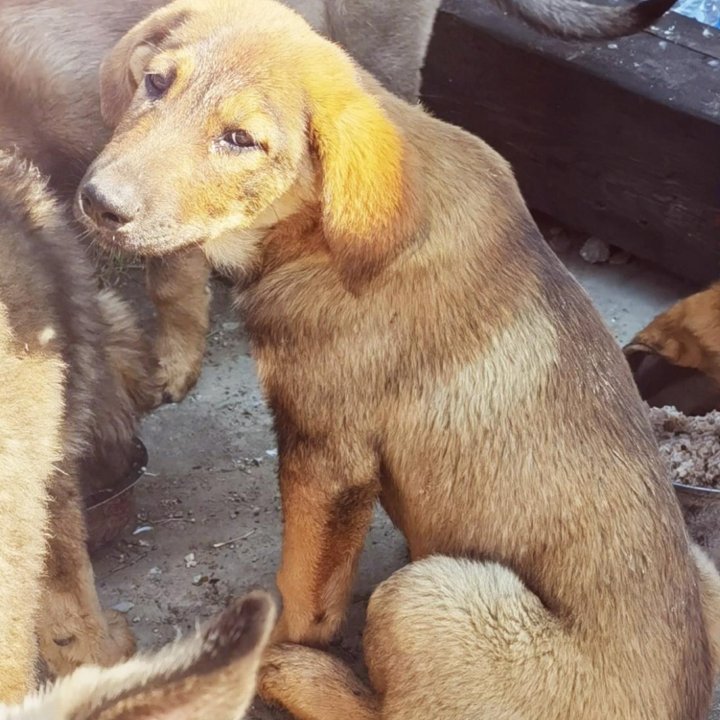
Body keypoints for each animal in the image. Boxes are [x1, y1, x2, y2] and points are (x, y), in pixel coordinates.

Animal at [76, 2, 720, 716]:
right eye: (156, 83)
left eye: (241, 140)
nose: (97, 202)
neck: (322, 231)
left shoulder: (327, 454)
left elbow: (305, 593)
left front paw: (277, 646)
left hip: (427, 593)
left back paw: (294, 672)